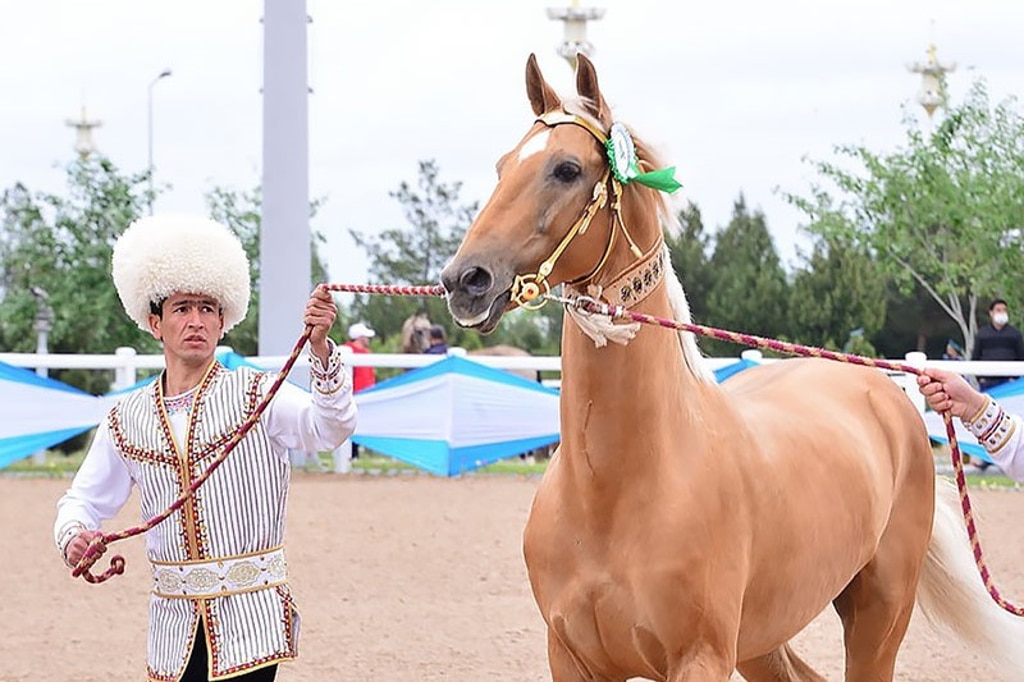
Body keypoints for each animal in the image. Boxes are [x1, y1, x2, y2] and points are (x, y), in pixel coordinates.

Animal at [440, 53, 1024, 679]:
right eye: (503, 166)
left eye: (567, 169)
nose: (465, 280)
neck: (612, 489)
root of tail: (886, 390)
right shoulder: (572, 658)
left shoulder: (701, 656)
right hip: (764, 638)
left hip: (880, 614)